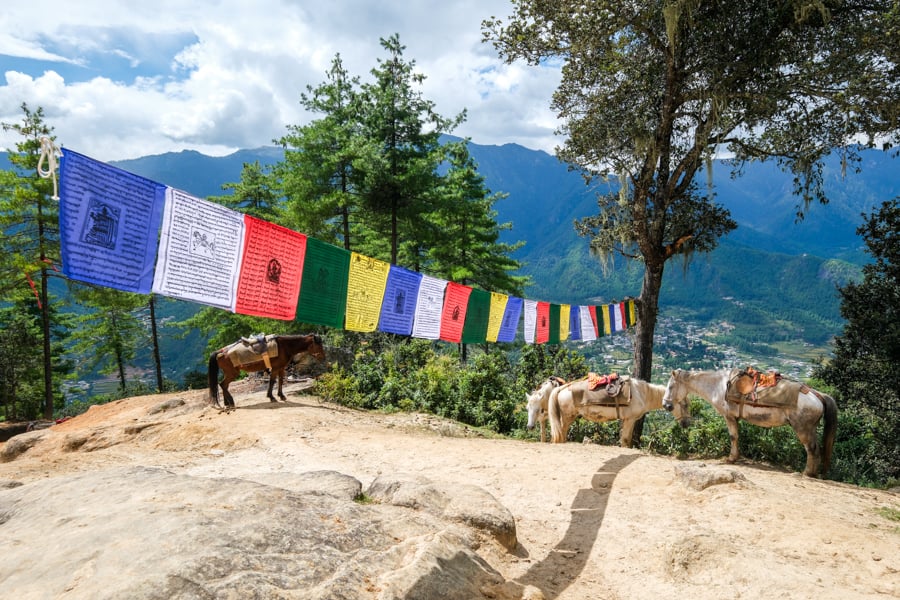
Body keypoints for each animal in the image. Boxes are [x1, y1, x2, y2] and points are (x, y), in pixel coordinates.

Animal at [656, 368, 840, 476]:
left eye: (671, 387)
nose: (665, 405)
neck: (719, 386)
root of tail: (817, 394)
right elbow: (737, 436)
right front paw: (735, 457)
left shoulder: (729, 417)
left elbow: (733, 437)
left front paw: (731, 458)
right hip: (810, 429)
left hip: (803, 429)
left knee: (812, 449)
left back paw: (806, 473)